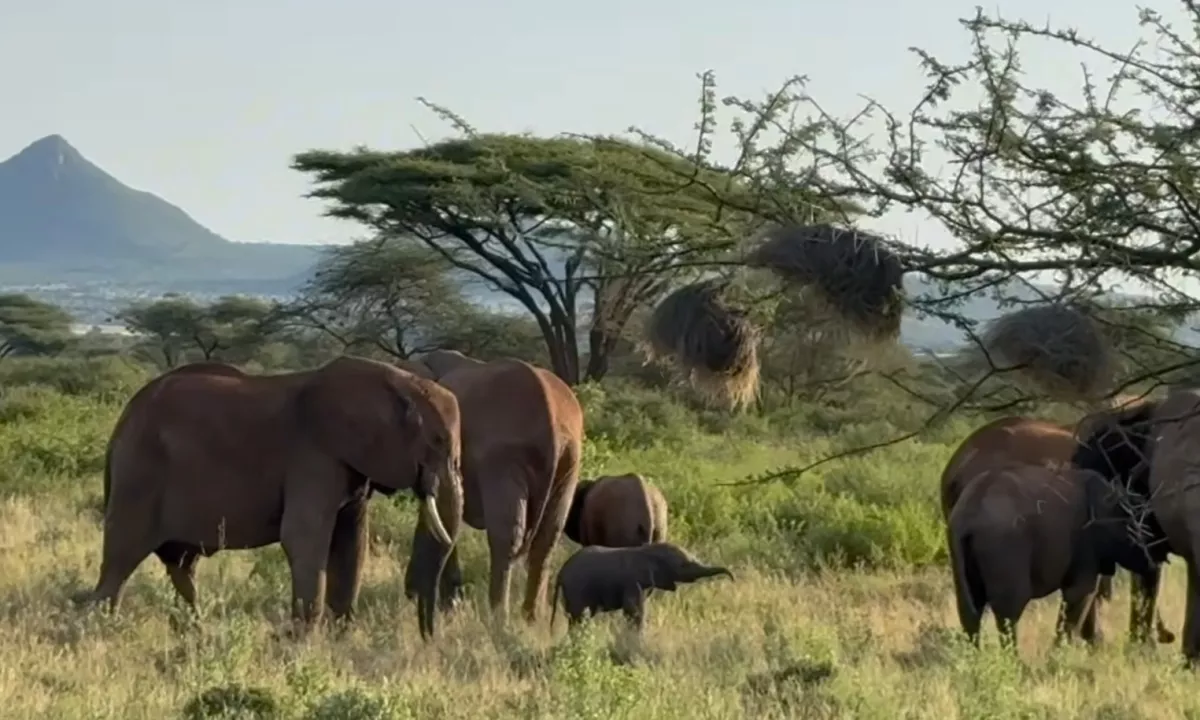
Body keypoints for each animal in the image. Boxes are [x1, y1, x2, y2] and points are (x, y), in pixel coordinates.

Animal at [73, 356, 465, 640]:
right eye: (437, 442)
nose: (429, 636)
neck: (397, 378)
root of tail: (122, 420)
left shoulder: (352, 463)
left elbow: (352, 542)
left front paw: (340, 639)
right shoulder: (314, 455)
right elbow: (304, 537)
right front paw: (303, 641)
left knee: (181, 564)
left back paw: (196, 630)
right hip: (139, 473)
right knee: (122, 558)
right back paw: (100, 631)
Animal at [402, 349, 584, 623]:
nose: (409, 593)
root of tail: (552, 417)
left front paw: (446, 604)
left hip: (503, 457)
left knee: (506, 535)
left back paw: (498, 618)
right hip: (569, 460)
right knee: (548, 536)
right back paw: (532, 618)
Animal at [551, 542, 733, 630]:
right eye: (683, 565)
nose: (732, 579)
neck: (648, 550)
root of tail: (561, 573)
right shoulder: (632, 581)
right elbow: (634, 610)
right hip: (576, 589)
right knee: (578, 617)